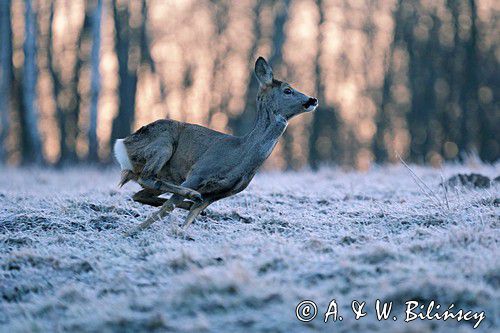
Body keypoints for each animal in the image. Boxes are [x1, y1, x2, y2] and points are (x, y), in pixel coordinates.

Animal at [114, 57, 316, 233]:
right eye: (287, 90)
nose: (313, 99)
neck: (240, 153)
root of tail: (123, 143)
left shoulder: (219, 193)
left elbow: (189, 217)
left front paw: (181, 231)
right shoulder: (198, 172)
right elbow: (168, 207)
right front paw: (132, 231)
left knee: (140, 194)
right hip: (163, 144)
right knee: (148, 179)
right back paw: (190, 196)